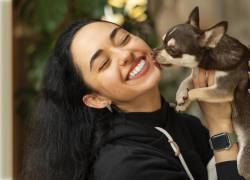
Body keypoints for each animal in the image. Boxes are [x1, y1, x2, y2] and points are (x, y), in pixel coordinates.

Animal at [155, 6, 250, 179]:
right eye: (162, 40)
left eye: (172, 50)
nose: (153, 52)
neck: (212, 55)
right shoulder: (198, 72)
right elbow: (187, 80)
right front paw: (181, 98)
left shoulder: (223, 90)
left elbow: (197, 91)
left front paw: (186, 98)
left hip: (244, 161)